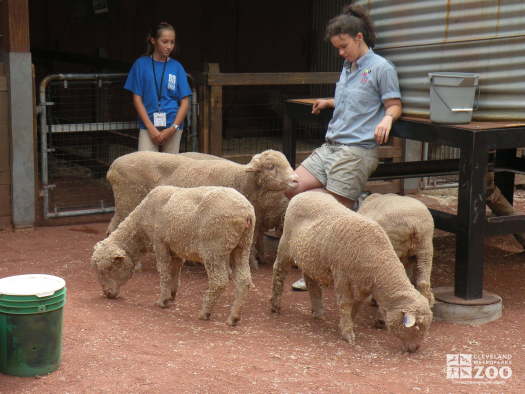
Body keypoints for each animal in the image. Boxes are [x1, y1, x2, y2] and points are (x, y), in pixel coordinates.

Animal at [91, 185, 255, 326]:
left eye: (110, 268)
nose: (107, 294)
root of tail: (246, 212)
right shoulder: (176, 248)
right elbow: (175, 271)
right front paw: (171, 295)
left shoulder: (160, 244)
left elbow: (164, 272)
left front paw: (162, 301)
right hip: (242, 246)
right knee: (244, 280)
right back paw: (233, 318)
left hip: (214, 249)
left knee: (219, 282)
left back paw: (205, 313)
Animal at [106, 149, 296, 270]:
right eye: (271, 167)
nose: (295, 179)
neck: (241, 179)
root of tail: (112, 167)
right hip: (127, 201)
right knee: (117, 228)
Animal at [268, 192, 432, 354]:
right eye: (417, 327)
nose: (415, 349)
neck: (378, 260)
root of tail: (304, 194)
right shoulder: (342, 276)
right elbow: (345, 304)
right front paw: (348, 333)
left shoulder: (362, 285)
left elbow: (356, 306)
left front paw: (347, 324)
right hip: (285, 245)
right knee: (279, 272)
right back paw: (275, 305)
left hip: (311, 257)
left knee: (311, 281)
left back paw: (318, 312)